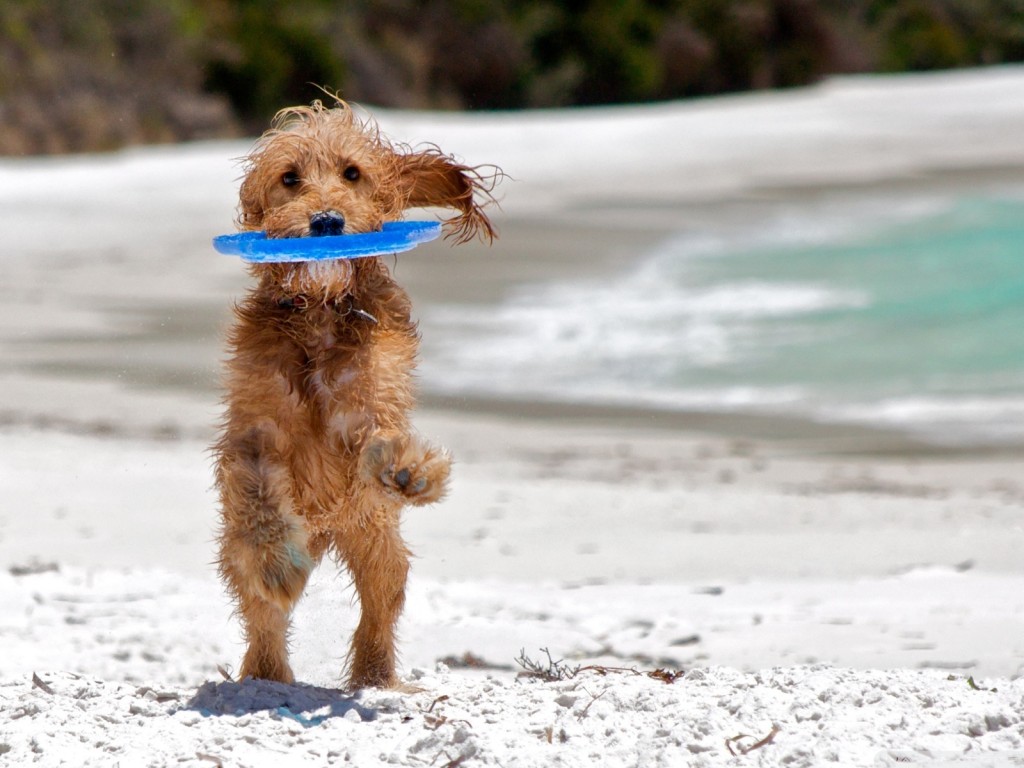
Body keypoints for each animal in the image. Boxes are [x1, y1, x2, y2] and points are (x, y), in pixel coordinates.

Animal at [214, 100, 498, 689]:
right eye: (290, 178)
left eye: (352, 173)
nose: (327, 222)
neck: (320, 312)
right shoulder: (253, 432)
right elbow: (258, 494)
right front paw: (276, 561)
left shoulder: (371, 405)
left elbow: (381, 440)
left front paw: (410, 469)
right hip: (247, 552)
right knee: (262, 614)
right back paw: (267, 672)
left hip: (374, 539)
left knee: (380, 602)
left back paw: (375, 675)